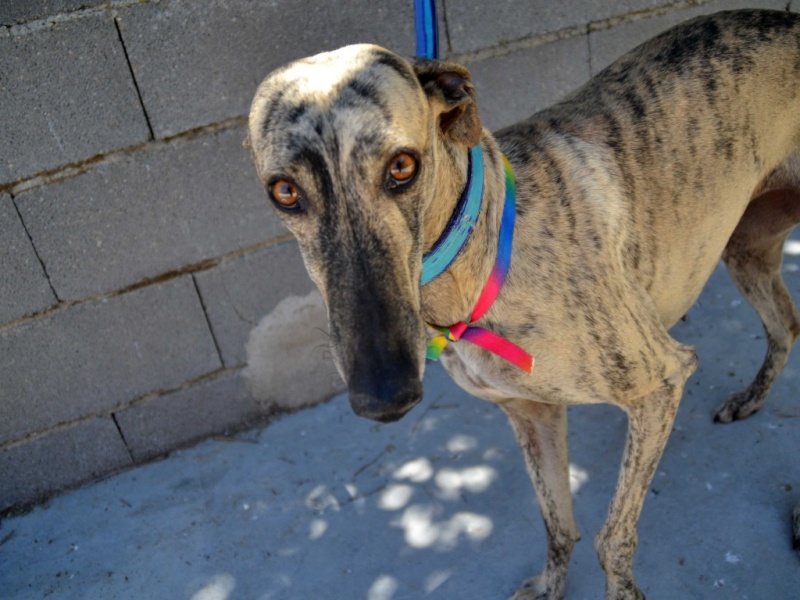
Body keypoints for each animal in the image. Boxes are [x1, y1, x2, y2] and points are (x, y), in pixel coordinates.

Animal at [247, 9, 800, 600]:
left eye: (402, 166)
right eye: (284, 191)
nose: (384, 398)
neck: (483, 257)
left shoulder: (662, 381)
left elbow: (612, 539)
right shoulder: (530, 412)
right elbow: (557, 522)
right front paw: (548, 585)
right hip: (745, 247)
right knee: (786, 324)